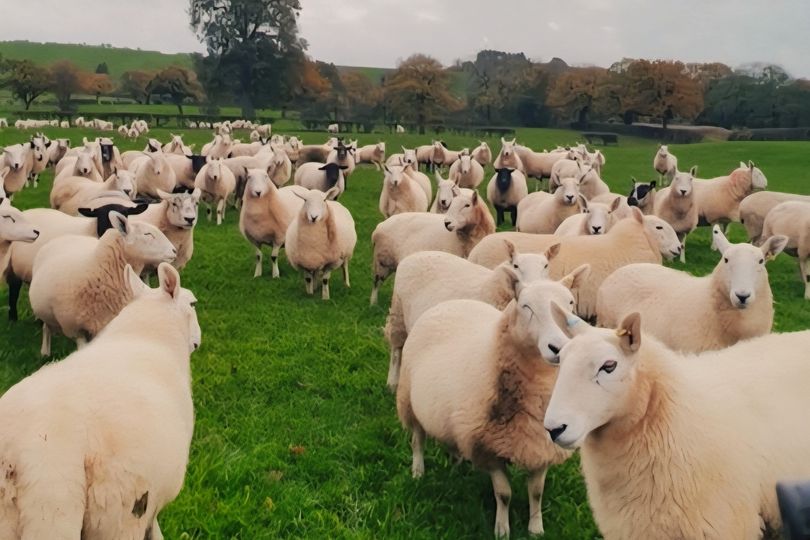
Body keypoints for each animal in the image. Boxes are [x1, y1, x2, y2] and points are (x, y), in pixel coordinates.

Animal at [0, 263, 198, 540]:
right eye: (193, 304)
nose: (197, 342)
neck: (148, 335)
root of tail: (34, 453)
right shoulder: (150, 500)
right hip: (115, 510)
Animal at [29, 212, 177, 355]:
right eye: (147, 234)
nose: (174, 251)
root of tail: (63, 237)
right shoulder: (74, 328)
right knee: (46, 326)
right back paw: (45, 352)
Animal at [384, 242, 560, 389]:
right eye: (516, 265)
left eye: (546, 265)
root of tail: (416, 254)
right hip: (398, 312)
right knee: (396, 348)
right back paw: (392, 382)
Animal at [396, 272, 590, 537]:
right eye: (526, 306)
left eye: (570, 303)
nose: (558, 348)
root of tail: (450, 303)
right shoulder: (488, 446)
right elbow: (504, 494)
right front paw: (502, 529)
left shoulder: (540, 445)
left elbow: (537, 492)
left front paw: (536, 528)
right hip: (409, 400)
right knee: (417, 441)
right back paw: (417, 472)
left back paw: (456, 468)